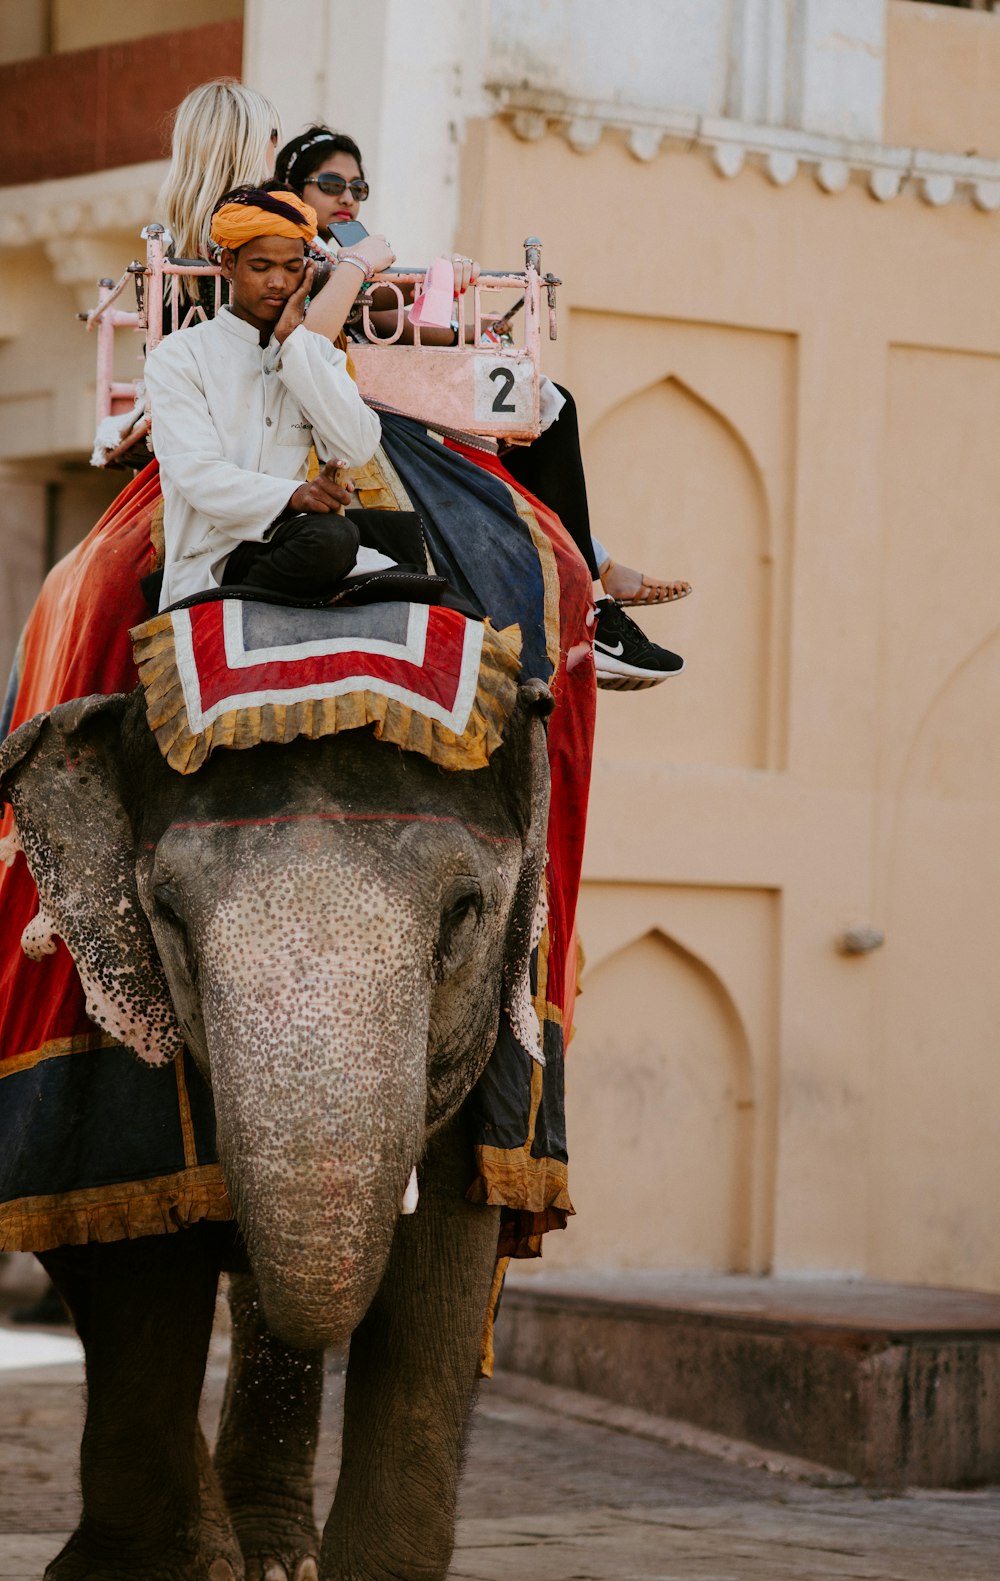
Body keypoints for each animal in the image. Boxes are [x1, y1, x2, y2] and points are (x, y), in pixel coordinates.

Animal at [0, 676, 549, 1581]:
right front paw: (155, 1569)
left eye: (463, 912)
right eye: (167, 914)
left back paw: (273, 1559)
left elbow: (446, 1254)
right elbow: (134, 1252)